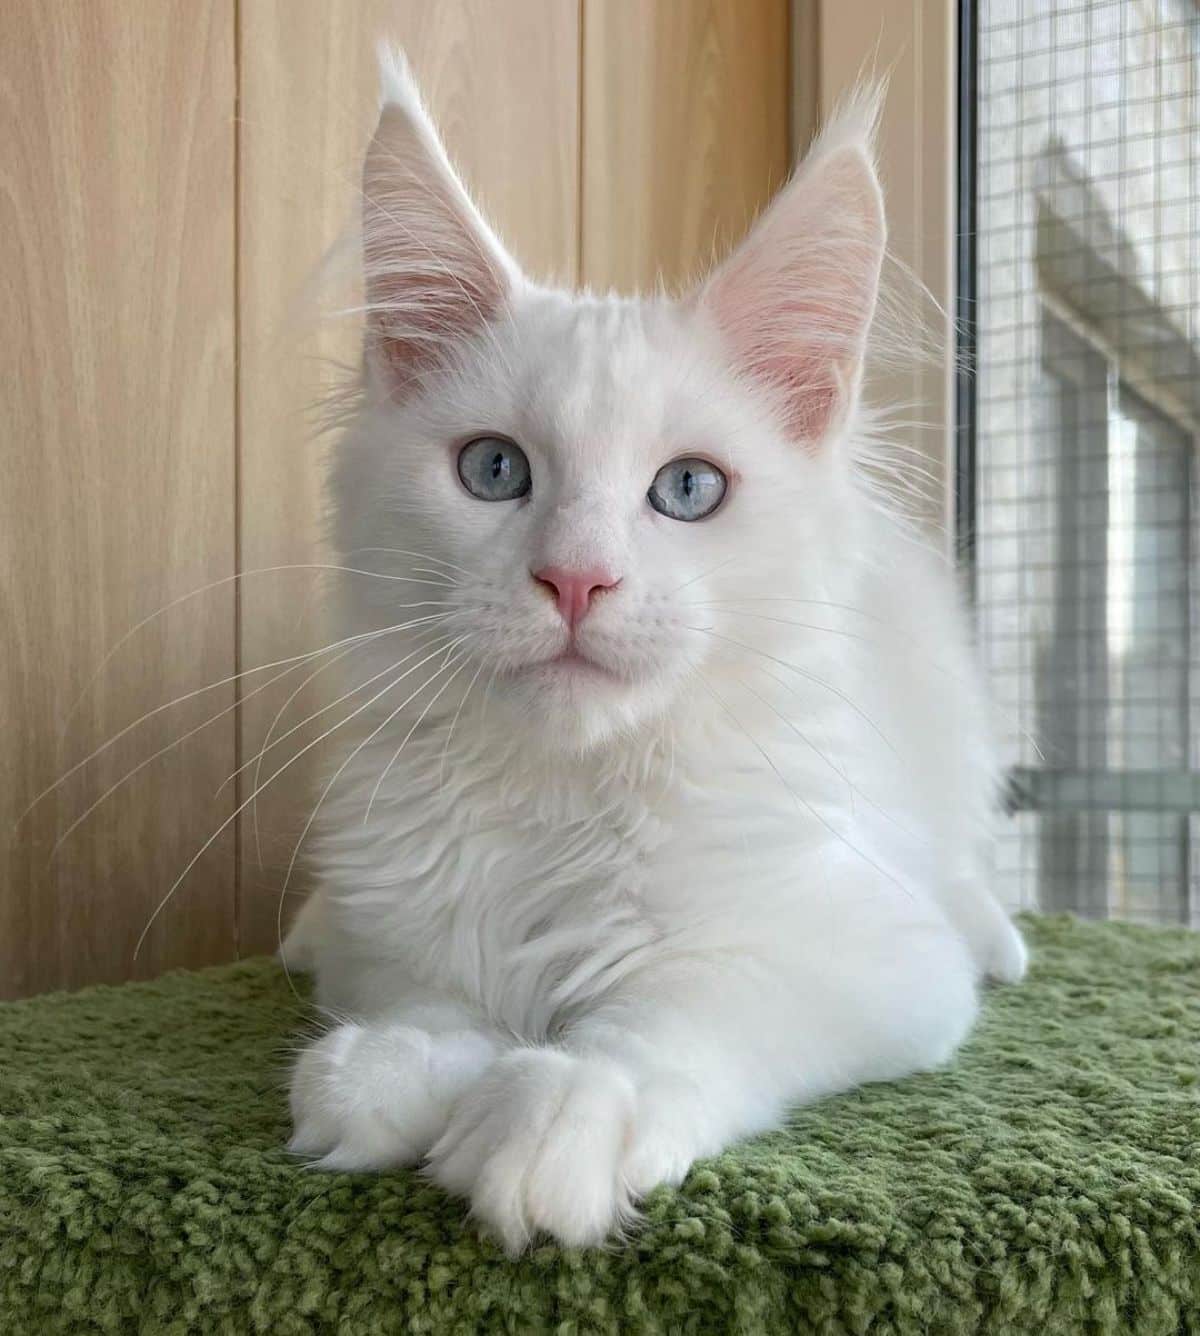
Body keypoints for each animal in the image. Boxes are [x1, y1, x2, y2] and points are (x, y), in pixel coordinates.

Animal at [285, 52, 1026, 1255]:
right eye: (494, 470)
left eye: (687, 490)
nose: (576, 580)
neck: (567, 795)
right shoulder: (399, 919)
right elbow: (429, 992)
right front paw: (391, 1067)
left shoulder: (866, 949)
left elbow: (684, 1004)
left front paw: (568, 1105)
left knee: (964, 870)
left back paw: (1001, 937)